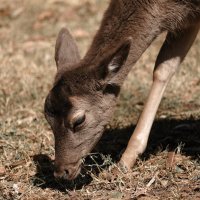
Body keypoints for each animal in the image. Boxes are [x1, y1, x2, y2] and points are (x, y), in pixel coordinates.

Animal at [44, 0, 200, 180]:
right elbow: (163, 68)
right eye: (47, 118)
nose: (61, 172)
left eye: (79, 120)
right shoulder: (187, 21)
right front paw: (125, 162)